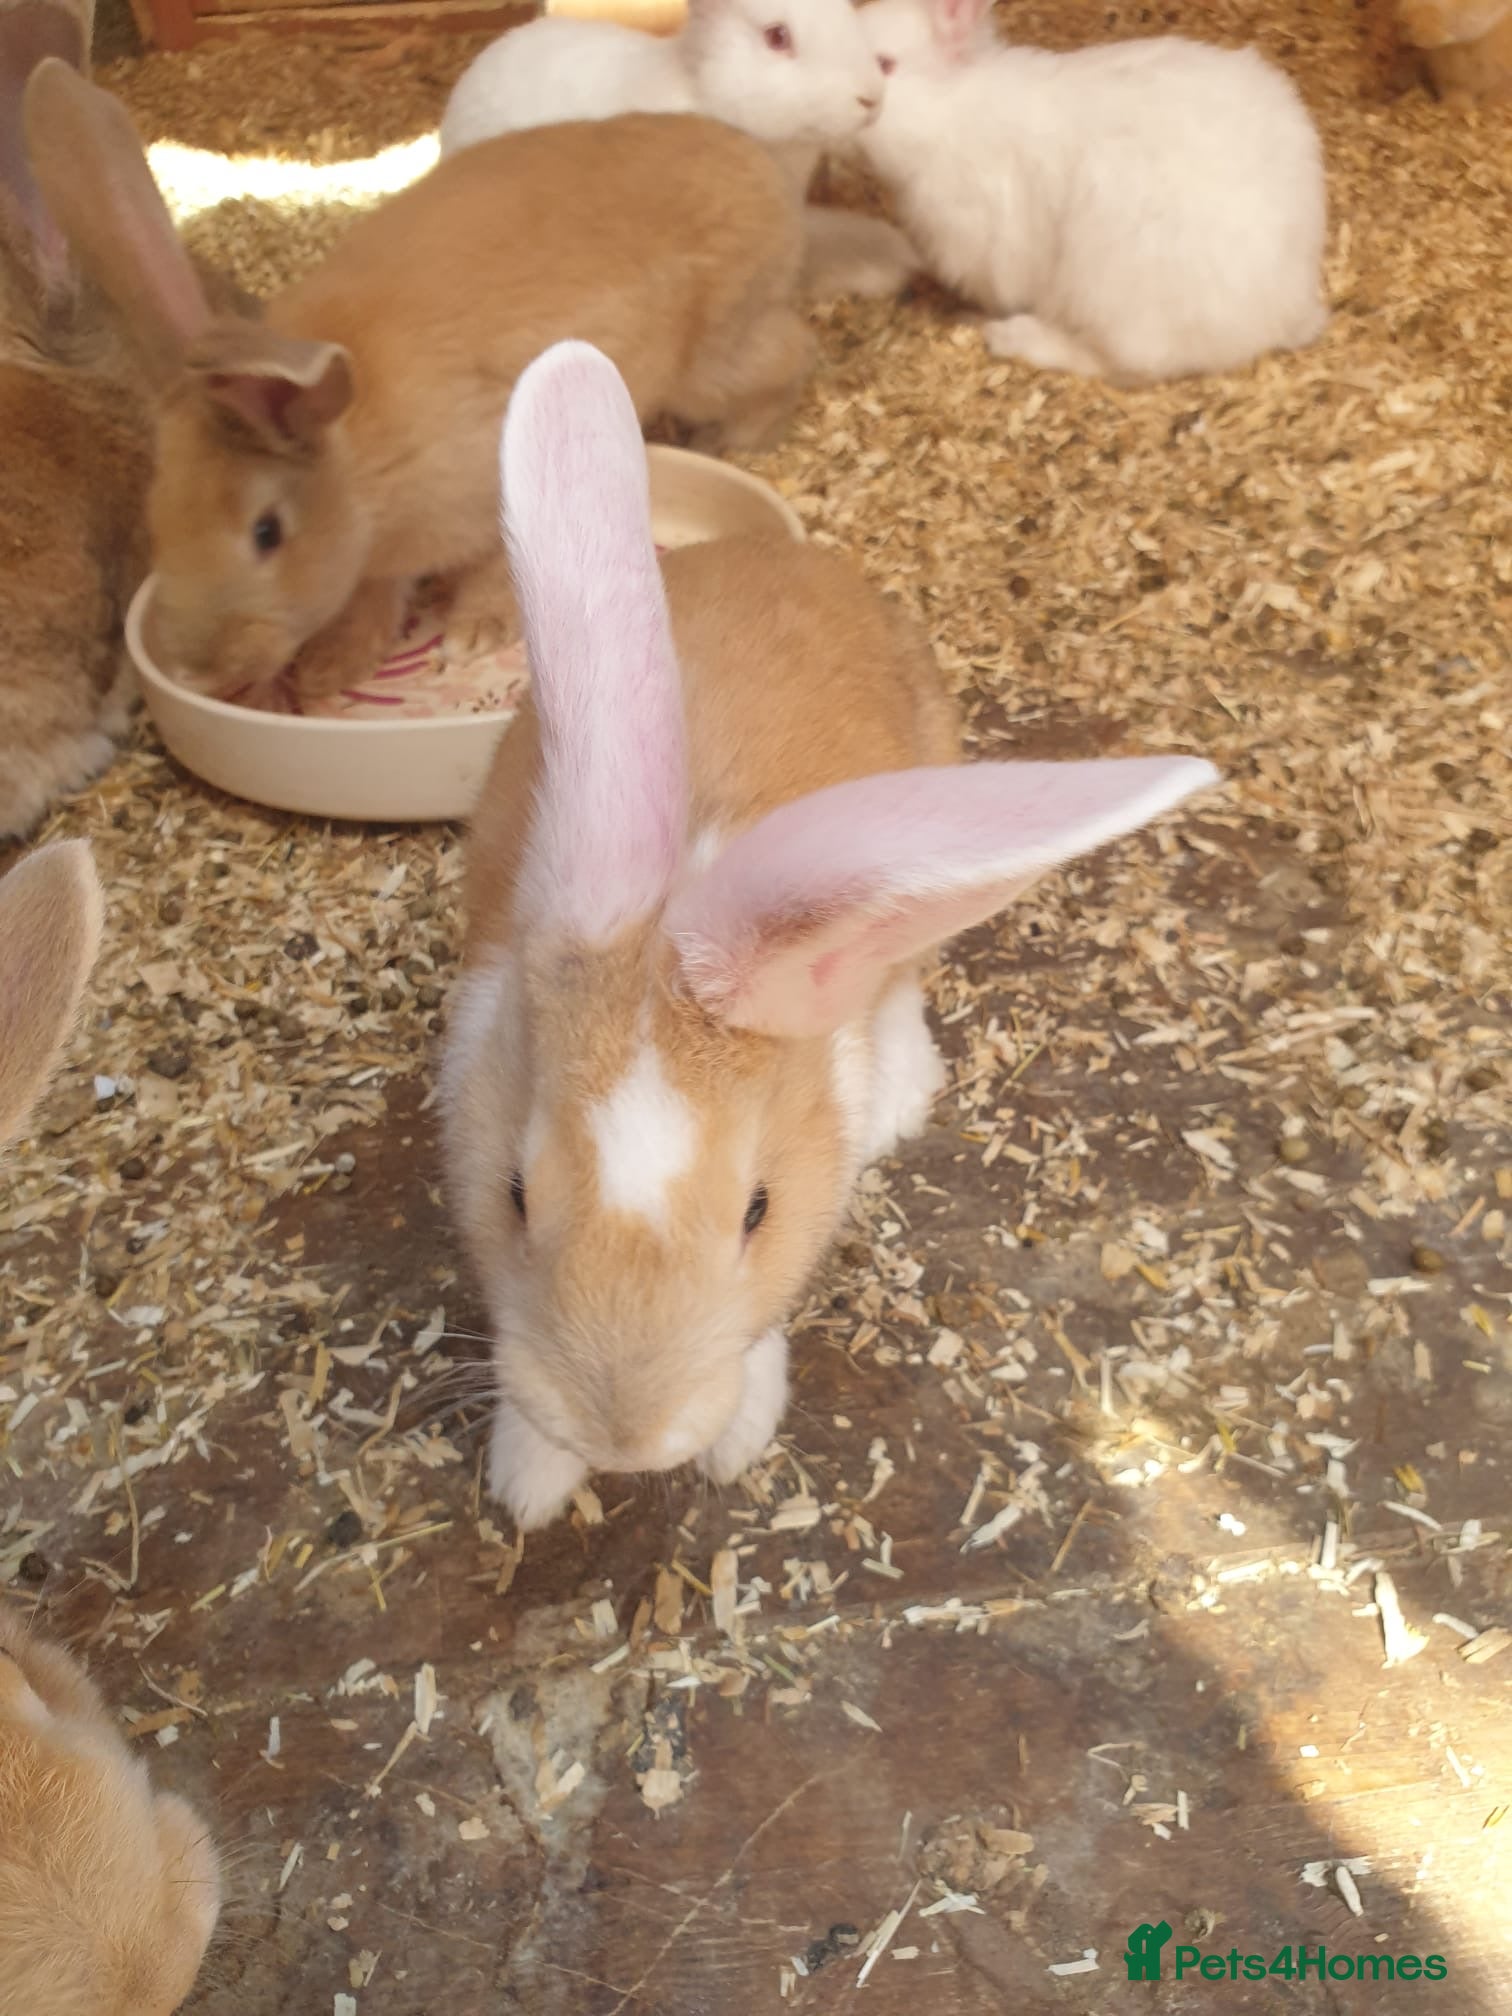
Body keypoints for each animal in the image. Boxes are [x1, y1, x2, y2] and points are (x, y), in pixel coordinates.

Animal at [23, 66, 815, 707]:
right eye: (158, 519)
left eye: (266, 533)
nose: (196, 671)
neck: (355, 458)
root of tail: (756, 163)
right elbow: (374, 599)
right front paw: (335, 665)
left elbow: (493, 572)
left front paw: (474, 632)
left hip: (716, 357)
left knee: (789, 351)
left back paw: (740, 439)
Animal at [441, 338, 1220, 1531]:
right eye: (516, 1195)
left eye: (758, 1212)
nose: (627, 1439)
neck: (682, 892)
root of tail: (802, 557)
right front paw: (531, 1482)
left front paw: (732, 1441)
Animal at [854, 0, 1330, 383]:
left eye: (886, 65)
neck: (950, 111)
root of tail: (1289, 309)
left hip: (1112, 291)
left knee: (1119, 364)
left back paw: (1013, 337)